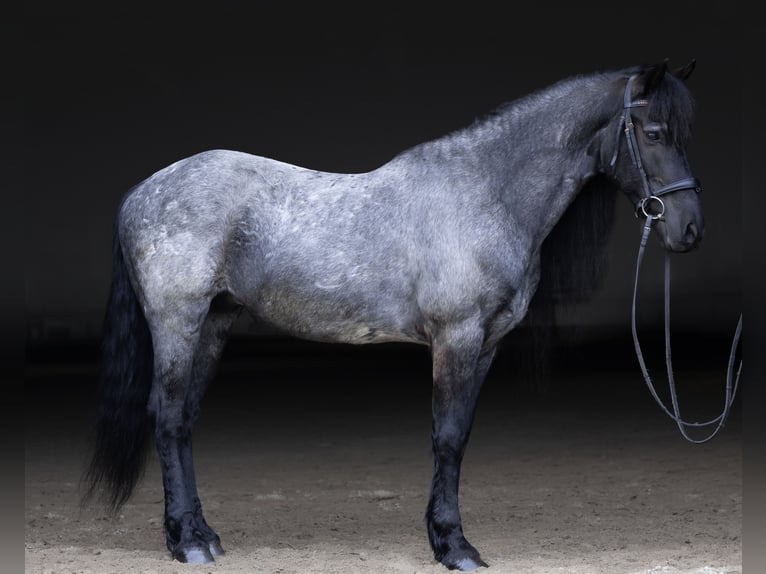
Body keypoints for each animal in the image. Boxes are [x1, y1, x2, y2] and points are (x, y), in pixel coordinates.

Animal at [82, 60, 703, 571]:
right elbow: (447, 437)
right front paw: (455, 548)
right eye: (654, 133)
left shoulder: (487, 345)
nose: (689, 229)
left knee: (185, 421)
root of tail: (143, 191)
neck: (484, 193)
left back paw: (203, 535)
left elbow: (461, 436)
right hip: (178, 323)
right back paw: (186, 543)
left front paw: (444, 538)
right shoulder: (457, 338)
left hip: (214, 323)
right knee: (166, 417)